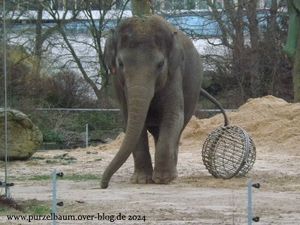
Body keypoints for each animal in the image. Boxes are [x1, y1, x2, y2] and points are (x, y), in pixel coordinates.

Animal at [101, 14, 227, 189]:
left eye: (160, 64)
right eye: (120, 64)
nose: (104, 185)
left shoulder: (174, 74)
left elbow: (173, 116)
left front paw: (163, 180)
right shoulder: (117, 84)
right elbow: (130, 121)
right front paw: (141, 180)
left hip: (192, 92)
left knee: (177, 128)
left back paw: (172, 174)